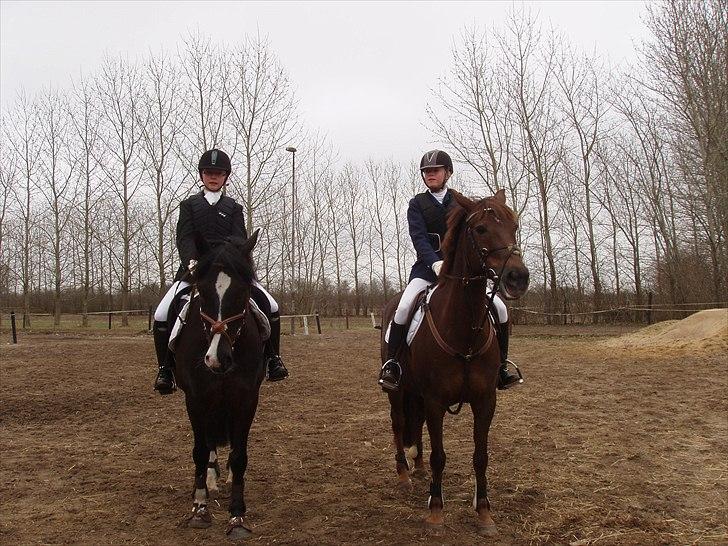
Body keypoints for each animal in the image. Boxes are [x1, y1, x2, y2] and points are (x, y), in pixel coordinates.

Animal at [173, 228, 268, 536]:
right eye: (202, 291)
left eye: (243, 292)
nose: (217, 359)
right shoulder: (196, 398)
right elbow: (201, 451)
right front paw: (200, 508)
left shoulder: (247, 398)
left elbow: (239, 456)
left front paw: (237, 515)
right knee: (208, 442)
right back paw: (209, 481)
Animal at [382, 189, 528, 532]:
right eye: (481, 229)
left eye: (514, 227)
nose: (518, 277)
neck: (464, 329)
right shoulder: (436, 400)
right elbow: (440, 455)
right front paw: (436, 511)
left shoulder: (485, 400)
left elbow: (481, 456)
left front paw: (484, 511)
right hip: (398, 390)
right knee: (398, 423)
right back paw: (404, 474)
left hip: (417, 394)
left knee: (416, 423)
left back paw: (419, 467)